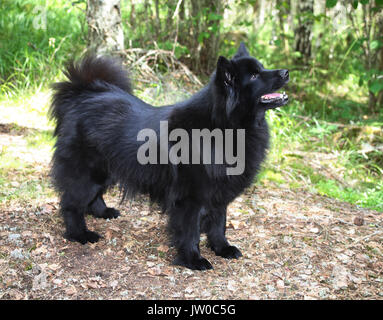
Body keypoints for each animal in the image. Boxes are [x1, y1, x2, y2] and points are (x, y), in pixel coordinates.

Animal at [49, 43, 290, 270]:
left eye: (261, 68)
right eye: (254, 76)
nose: (286, 72)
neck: (224, 126)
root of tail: (83, 94)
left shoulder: (218, 192)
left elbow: (218, 224)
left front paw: (222, 248)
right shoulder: (191, 197)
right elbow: (190, 231)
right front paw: (193, 259)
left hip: (107, 169)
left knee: (93, 196)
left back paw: (104, 212)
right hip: (88, 173)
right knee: (71, 203)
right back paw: (80, 234)